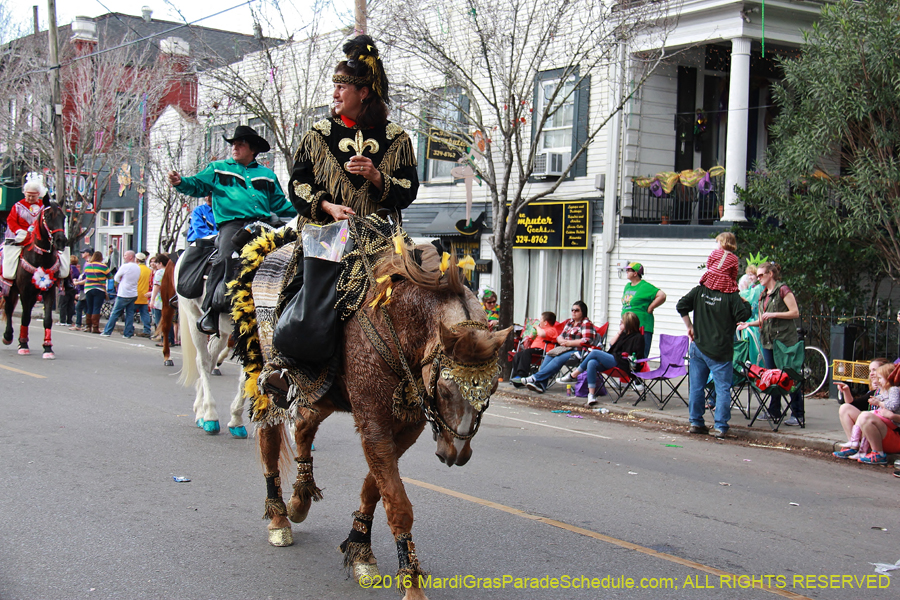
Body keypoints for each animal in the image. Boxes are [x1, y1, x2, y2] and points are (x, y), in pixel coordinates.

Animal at [175, 256, 248, 436]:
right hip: (194, 318)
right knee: (203, 361)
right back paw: (209, 415)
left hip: (221, 330)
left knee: (211, 358)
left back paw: (200, 410)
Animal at [239, 237, 510, 596]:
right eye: (446, 389)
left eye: (492, 389)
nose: (456, 453)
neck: (399, 326)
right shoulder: (373, 422)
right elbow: (397, 501)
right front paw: (410, 581)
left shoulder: (407, 427)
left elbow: (374, 486)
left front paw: (360, 547)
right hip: (269, 381)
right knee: (269, 437)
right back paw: (279, 517)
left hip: (321, 390)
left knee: (304, 426)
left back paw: (299, 499)